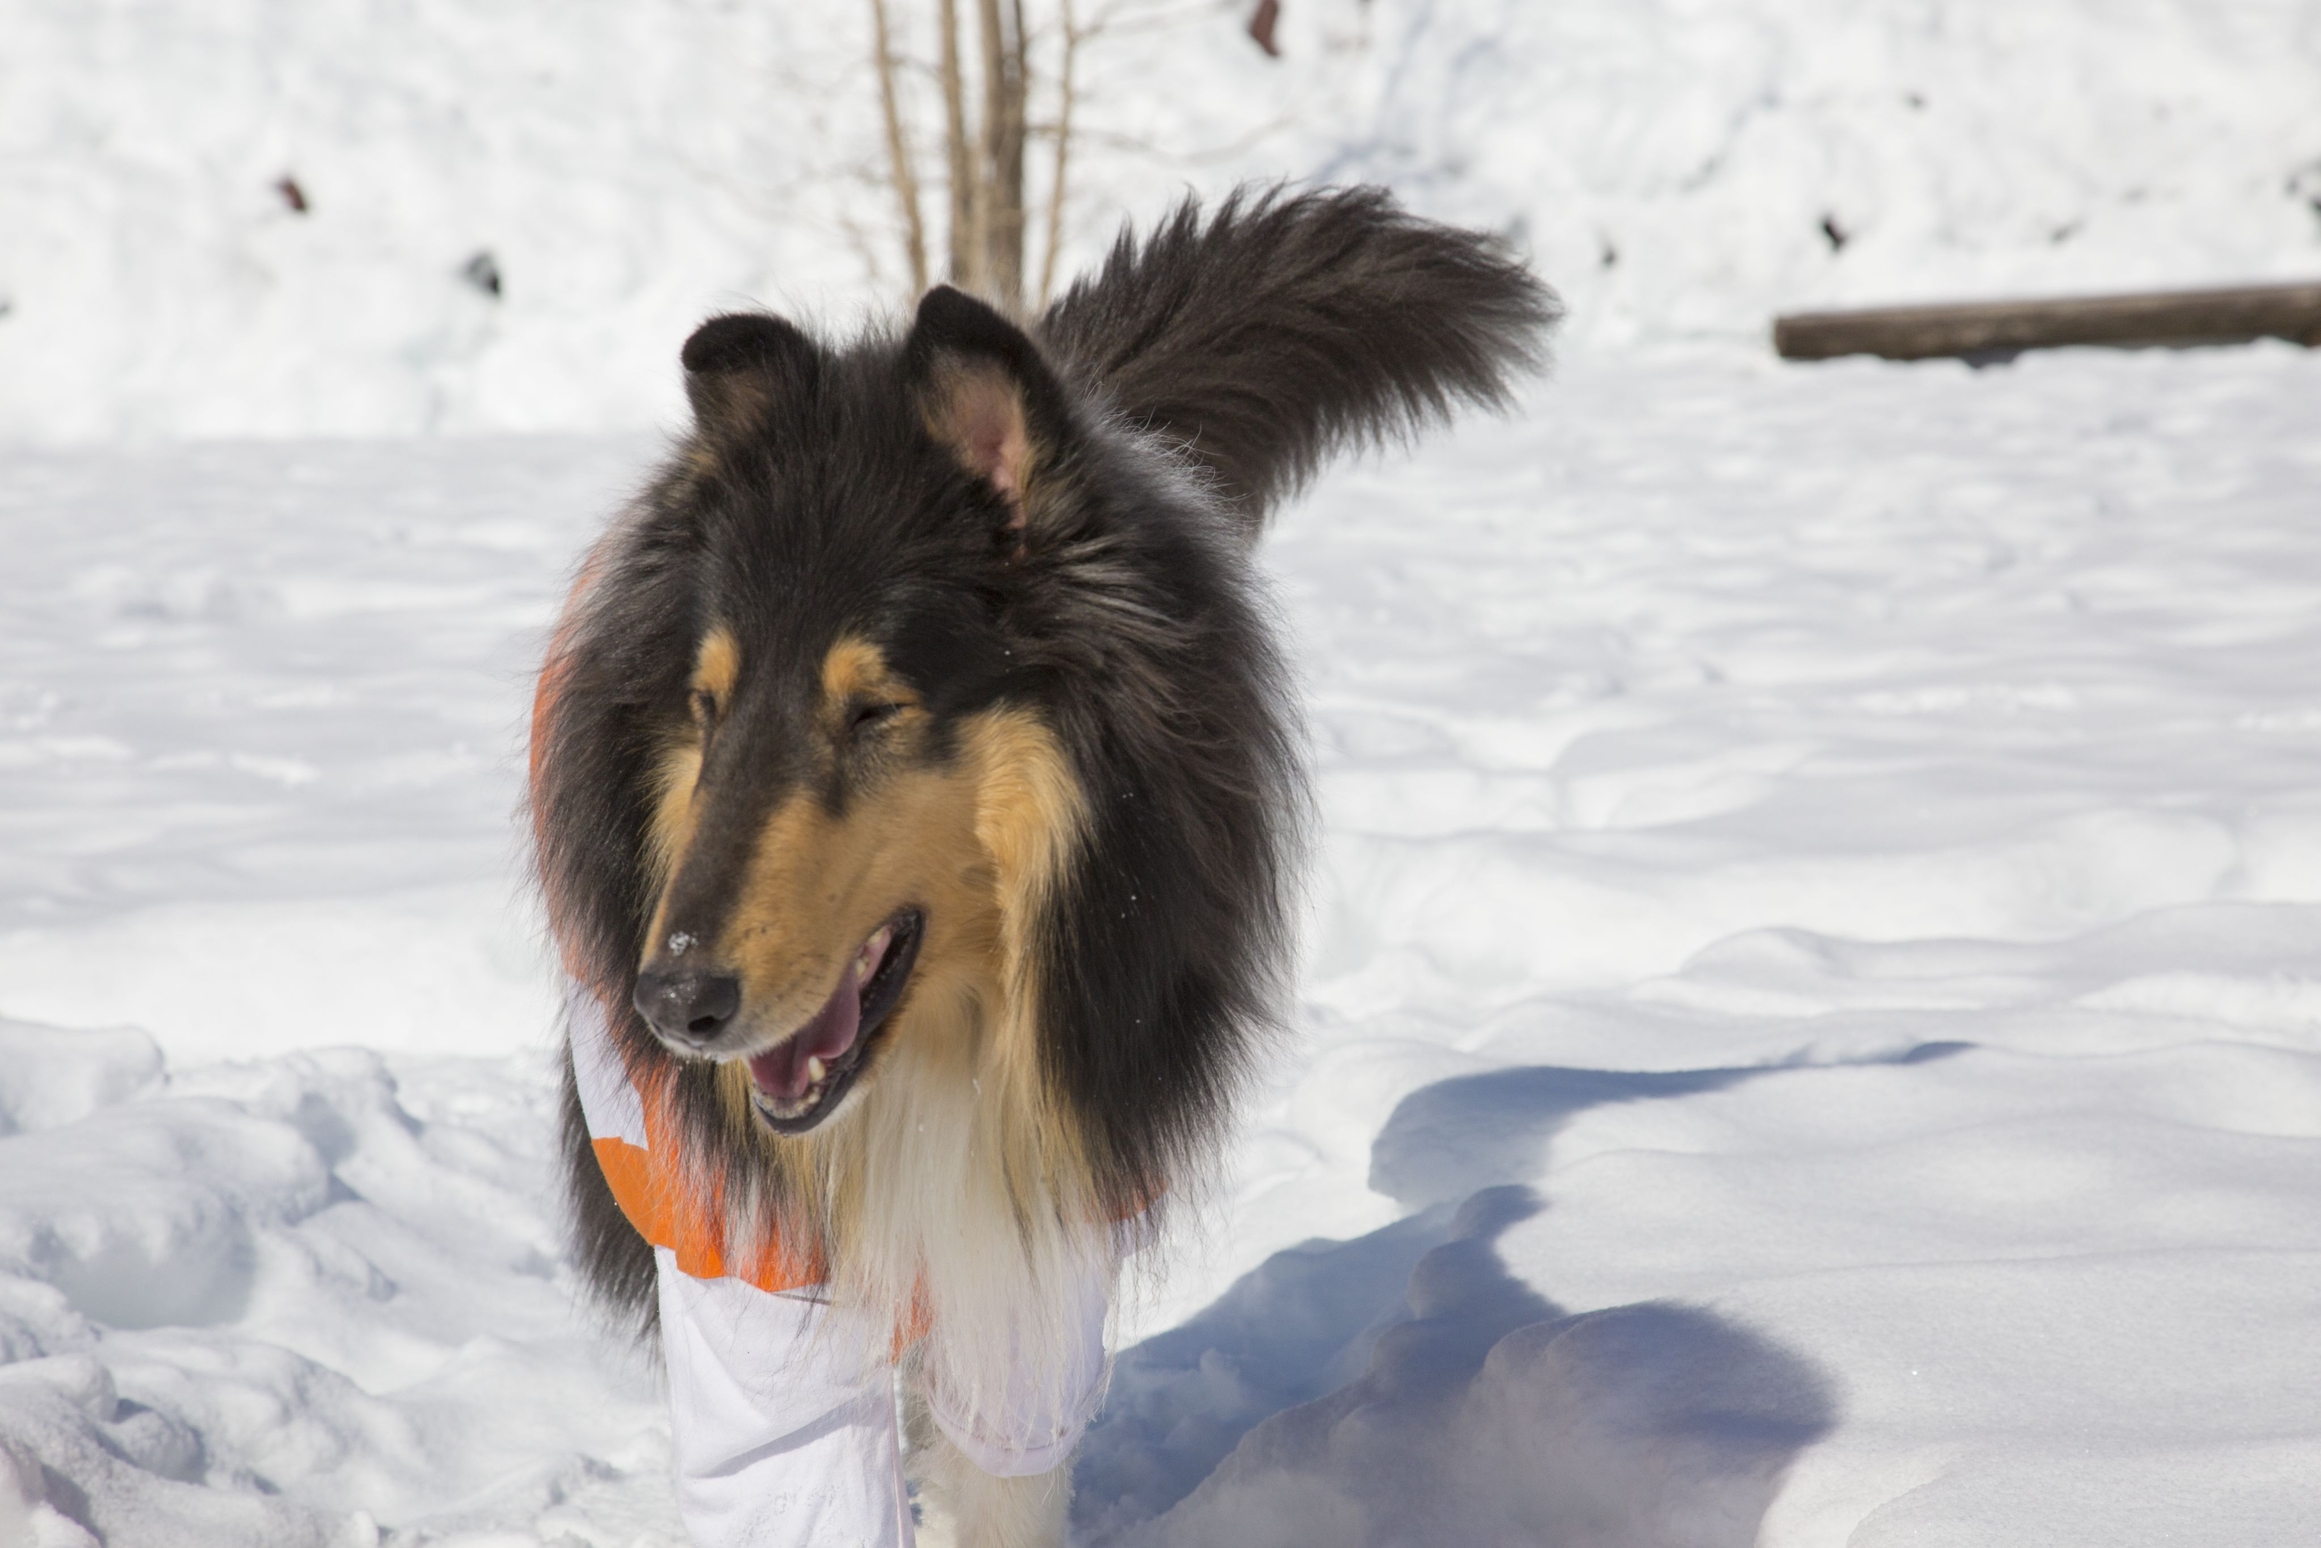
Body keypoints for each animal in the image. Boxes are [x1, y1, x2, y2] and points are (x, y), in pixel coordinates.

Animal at [531, 187, 1559, 1541]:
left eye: (875, 710)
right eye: (707, 707)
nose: (675, 1003)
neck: (931, 1068)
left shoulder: (1038, 1242)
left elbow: (1002, 1466)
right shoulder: (744, 1273)